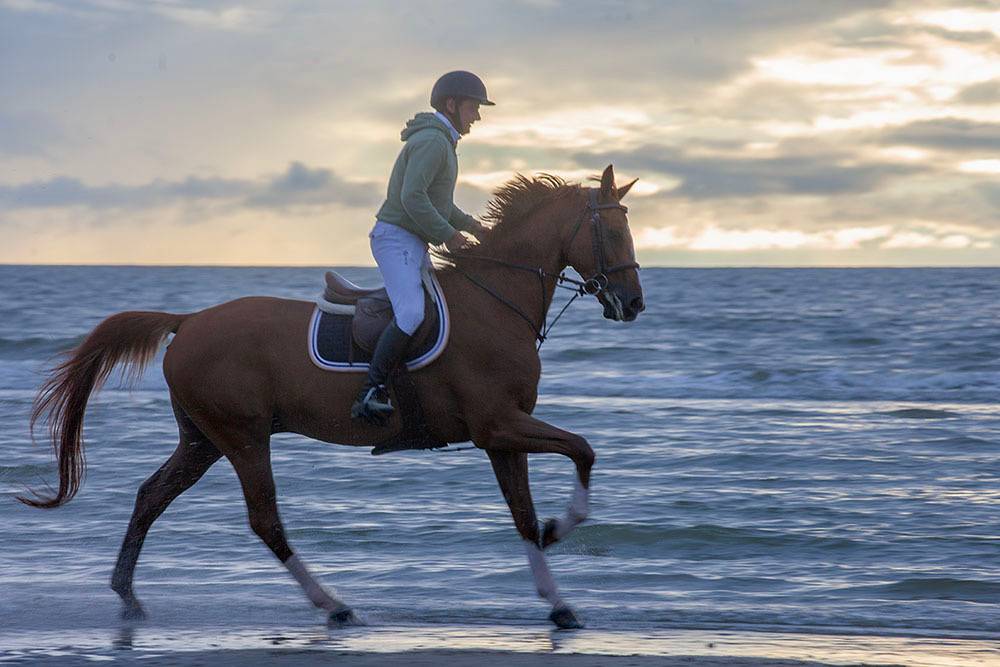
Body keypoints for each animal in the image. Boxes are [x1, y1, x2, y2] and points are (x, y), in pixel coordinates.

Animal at [21, 165, 645, 629]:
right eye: (614, 233)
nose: (633, 303)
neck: (495, 301)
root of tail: (189, 320)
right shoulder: (498, 425)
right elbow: (583, 450)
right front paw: (563, 528)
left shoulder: (501, 436)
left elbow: (524, 515)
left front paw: (559, 600)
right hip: (242, 438)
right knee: (264, 520)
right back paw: (333, 604)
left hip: (203, 440)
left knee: (151, 496)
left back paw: (128, 597)